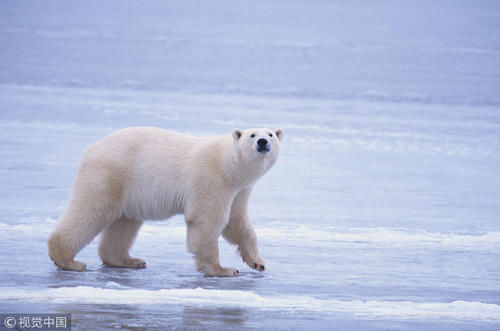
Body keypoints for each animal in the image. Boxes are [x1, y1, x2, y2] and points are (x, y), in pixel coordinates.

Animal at [48, 127, 284, 278]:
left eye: (270, 134)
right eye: (252, 134)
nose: (263, 142)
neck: (229, 165)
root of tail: (91, 148)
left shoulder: (239, 190)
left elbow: (237, 223)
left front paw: (258, 262)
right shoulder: (212, 180)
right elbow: (206, 222)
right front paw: (223, 270)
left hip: (129, 190)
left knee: (124, 223)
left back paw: (129, 260)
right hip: (110, 174)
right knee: (90, 210)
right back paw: (69, 261)